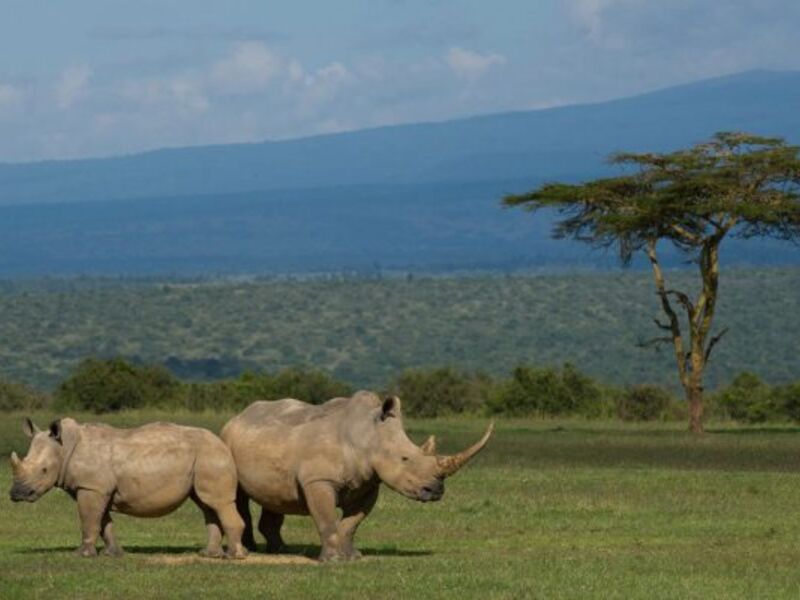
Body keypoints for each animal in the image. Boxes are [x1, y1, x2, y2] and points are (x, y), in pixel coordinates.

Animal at [8, 417, 247, 559]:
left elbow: (89, 520)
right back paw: (208, 554)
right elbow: (103, 522)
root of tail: (222, 442)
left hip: (212, 456)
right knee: (207, 505)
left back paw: (233, 557)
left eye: (44, 470)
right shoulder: (98, 488)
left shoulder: (91, 487)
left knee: (218, 503)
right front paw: (113, 554)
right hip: (204, 457)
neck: (65, 447)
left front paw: (82, 554)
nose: (16, 494)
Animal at [221, 391, 493, 562]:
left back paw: (279, 550)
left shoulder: (369, 484)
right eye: (405, 458)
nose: (435, 492)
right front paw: (333, 560)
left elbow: (352, 523)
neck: (368, 435)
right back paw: (251, 549)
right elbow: (327, 518)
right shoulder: (319, 480)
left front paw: (352, 556)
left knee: (276, 495)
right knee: (239, 495)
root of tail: (238, 416)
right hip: (226, 439)